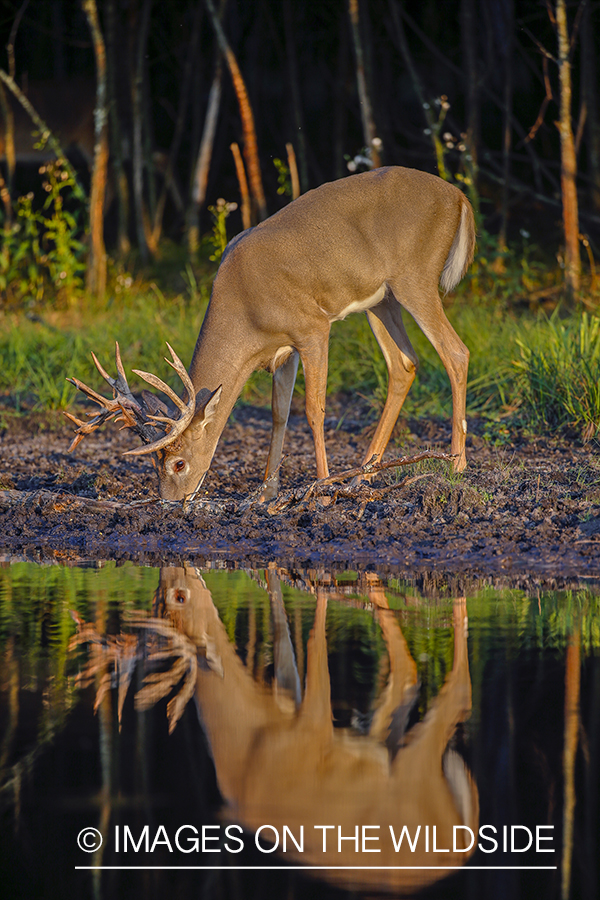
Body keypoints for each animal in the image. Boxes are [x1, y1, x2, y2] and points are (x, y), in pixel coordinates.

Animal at [65, 166, 476, 502]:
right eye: (154, 463)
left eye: (178, 463)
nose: (169, 502)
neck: (246, 311)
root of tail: (459, 196)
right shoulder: (283, 349)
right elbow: (280, 413)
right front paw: (267, 491)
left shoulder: (312, 327)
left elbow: (313, 410)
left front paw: (321, 489)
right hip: (381, 300)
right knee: (404, 365)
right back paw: (363, 476)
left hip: (415, 277)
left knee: (455, 352)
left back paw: (455, 464)